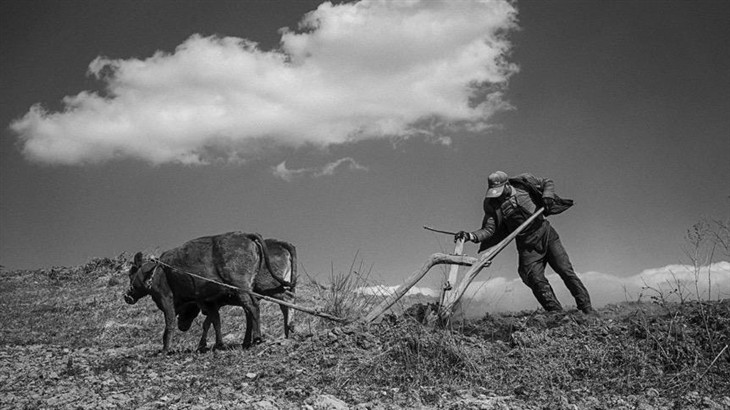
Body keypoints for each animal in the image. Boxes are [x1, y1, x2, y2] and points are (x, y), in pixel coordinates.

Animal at [123, 231, 290, 352]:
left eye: (131, 272)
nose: (127, 296)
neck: (155, 271)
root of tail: (245, 235)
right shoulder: (209, 304)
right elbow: (214, 321)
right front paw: (216, 344)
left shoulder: (166, 298)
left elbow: (169, 324)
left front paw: (165, 350)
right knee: (252, 307)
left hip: (241, 286)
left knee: (254, 307)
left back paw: (257, 338)